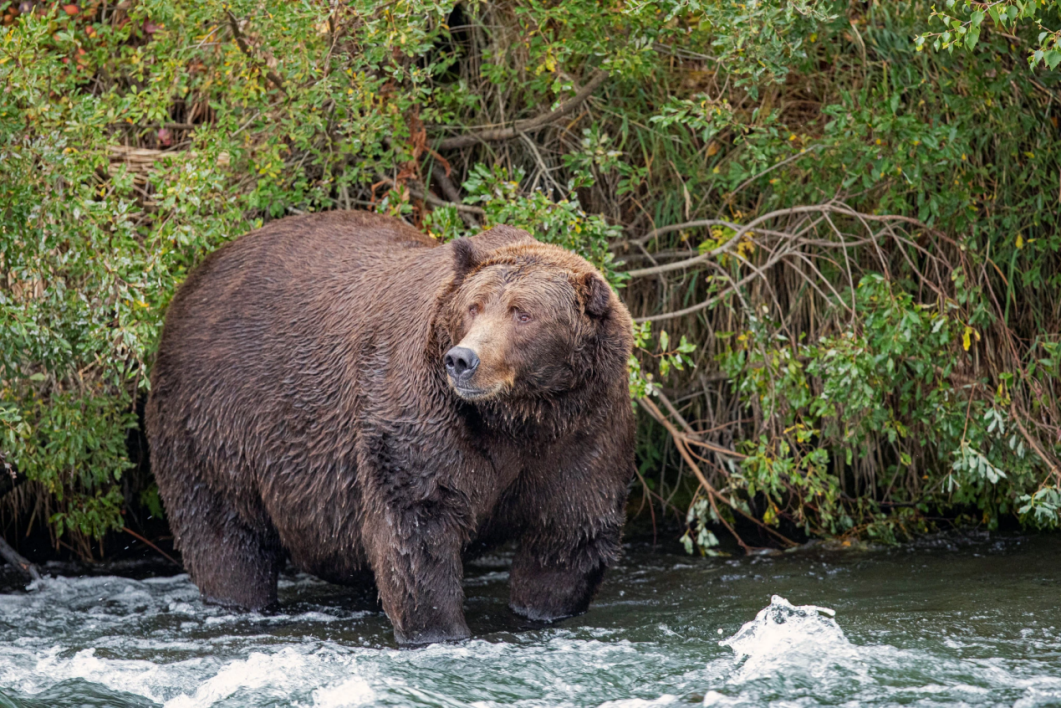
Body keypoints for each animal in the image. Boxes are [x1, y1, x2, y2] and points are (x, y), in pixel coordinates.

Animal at [144, 208, 632, 645]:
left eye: (523, 312)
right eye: (474, 306)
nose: (463, 359)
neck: (520, 417)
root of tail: (194, 278)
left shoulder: (584, 432)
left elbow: (568, 535)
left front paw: (541, 610)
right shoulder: (425, 418)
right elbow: (418, 528)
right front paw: (440, 632)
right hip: (215, 419)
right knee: (224, 534)